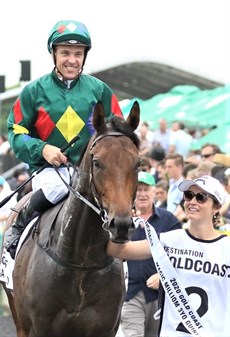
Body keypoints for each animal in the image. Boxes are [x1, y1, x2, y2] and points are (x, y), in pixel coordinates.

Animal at [1, 101, 140, 336]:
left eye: (138, 163)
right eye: (97, 162)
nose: (121, 225)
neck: (81, 262)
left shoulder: (105, 328)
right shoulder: (39, 328)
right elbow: (19, 130)